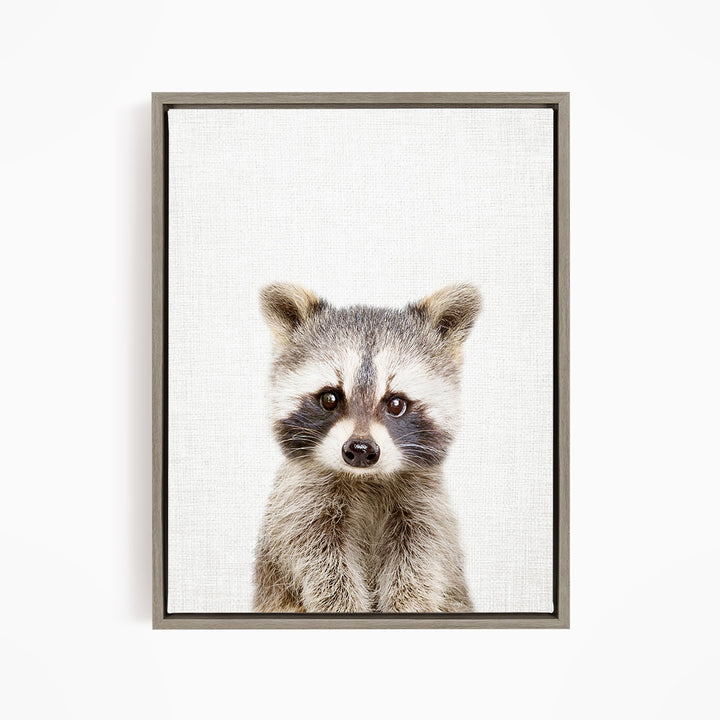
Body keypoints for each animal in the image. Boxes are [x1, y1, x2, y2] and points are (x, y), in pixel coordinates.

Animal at [253, 282, 481, 613]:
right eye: (330, 398)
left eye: (396, 403)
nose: (360, 449)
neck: (366, 479)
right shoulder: (300, 504)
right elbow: (321, 565)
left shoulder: (427, 508)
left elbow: (421, 563)